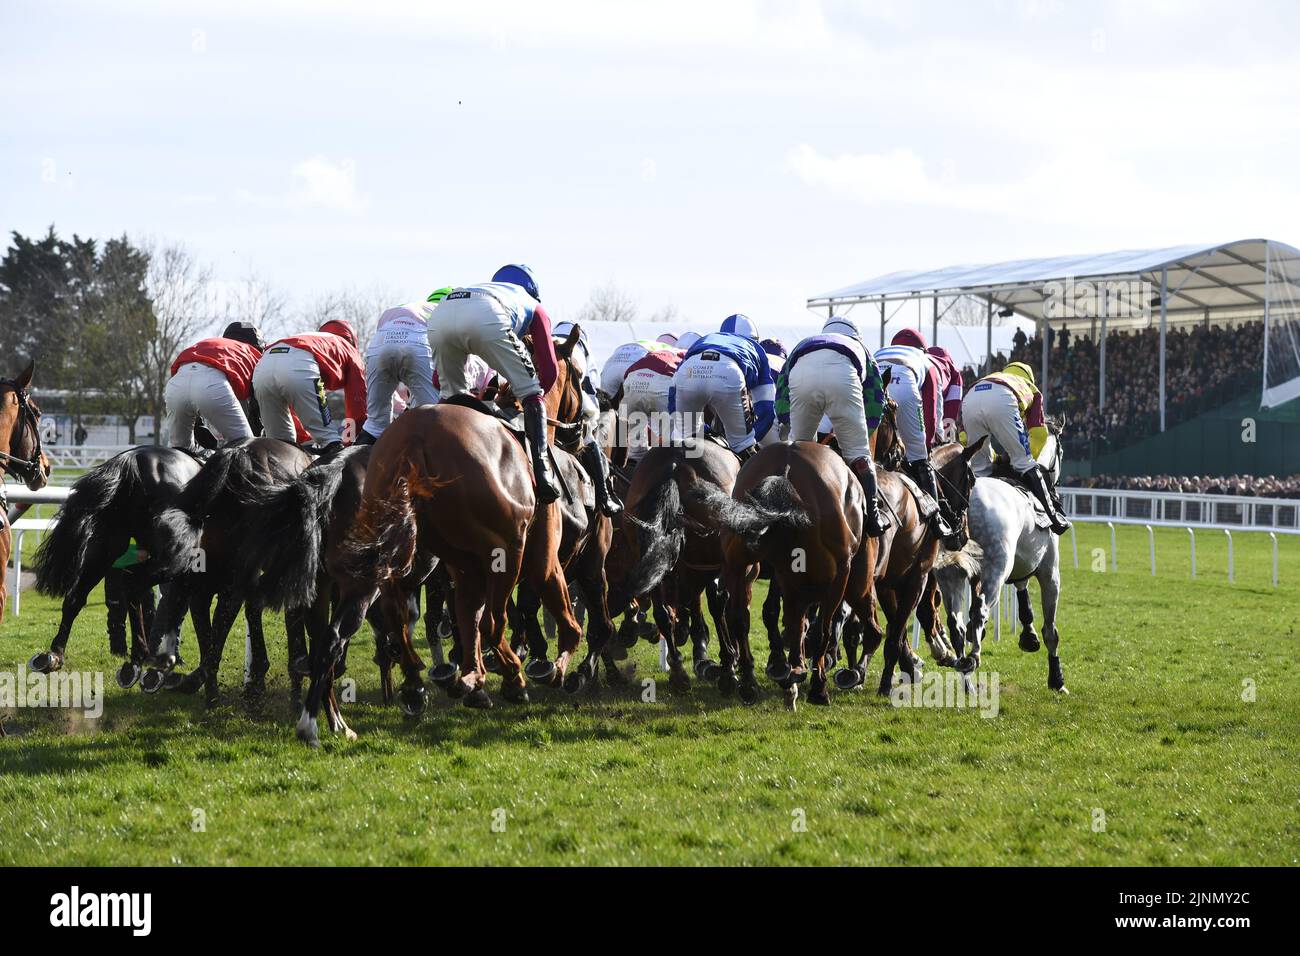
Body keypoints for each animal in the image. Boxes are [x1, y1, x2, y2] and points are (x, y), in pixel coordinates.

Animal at [29, 444, 201, 686]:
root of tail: (132, 461)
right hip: (173, 558)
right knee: (135, 585)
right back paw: (146, 658)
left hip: (106, 548)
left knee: (77, 598)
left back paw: (55, 655)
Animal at [686, 442, 878, 712]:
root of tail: (786, 466)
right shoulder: (839, 575)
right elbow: (820, 628)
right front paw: (817, 686)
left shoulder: (790, 577)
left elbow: (793, 622)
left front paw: (792, 676)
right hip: (846, 580)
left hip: (739, 563)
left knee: (739, 618)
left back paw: (748, 683)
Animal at [930, 429, 1071, 691]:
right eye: (1061, 451)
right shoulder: (1049, 571)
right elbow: (1051, 630)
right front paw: (1057, 679)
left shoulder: (1016, 565)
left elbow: (1022, 591)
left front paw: (1028, 636)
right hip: (997, 568)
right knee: (979, 611)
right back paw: (972, 658)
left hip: (949, 573)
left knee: (956, 623)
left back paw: (966, 679)